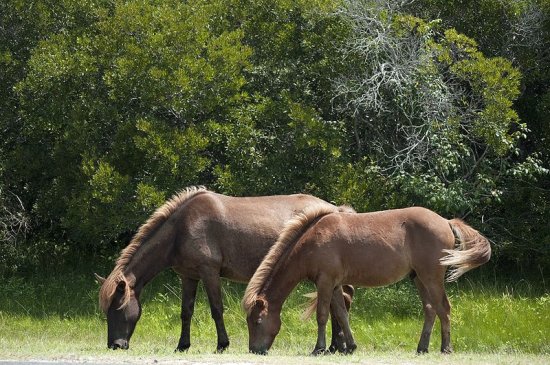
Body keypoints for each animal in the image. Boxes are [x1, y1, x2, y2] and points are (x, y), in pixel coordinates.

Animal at [97, 186, 356, 352]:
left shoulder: (209, 272)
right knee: (337, 302)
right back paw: (337, 346)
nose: (115, 345)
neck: (182, 227)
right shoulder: (188, 276)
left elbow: (216, 309)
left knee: (338, 302)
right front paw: (182, 345)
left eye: (117, 309)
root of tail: (336, 210)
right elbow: (186, 312)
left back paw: (337, 346)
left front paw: (222, 344)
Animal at [244, 205, 494, 356]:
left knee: (444, 308)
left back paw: (446, 348)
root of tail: (445, 220)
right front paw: (350, 347)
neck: (313, 241)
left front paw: (319, 348)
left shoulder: (325, 282)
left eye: (257, 321)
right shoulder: (335, 284)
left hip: (431, 277)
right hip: (419, 279)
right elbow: (342, 314)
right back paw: (422, 348)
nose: (254, 350)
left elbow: (323, 315)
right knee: (431, 309)